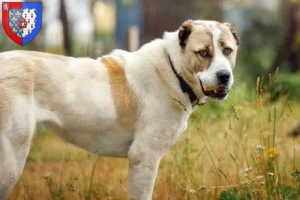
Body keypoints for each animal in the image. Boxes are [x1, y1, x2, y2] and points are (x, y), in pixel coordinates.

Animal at [0, 19, 239, 200]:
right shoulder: (144, 157)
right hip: (11, 161)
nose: (224, 76)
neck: (173, 70)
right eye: (203, 53)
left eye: (228, 50)